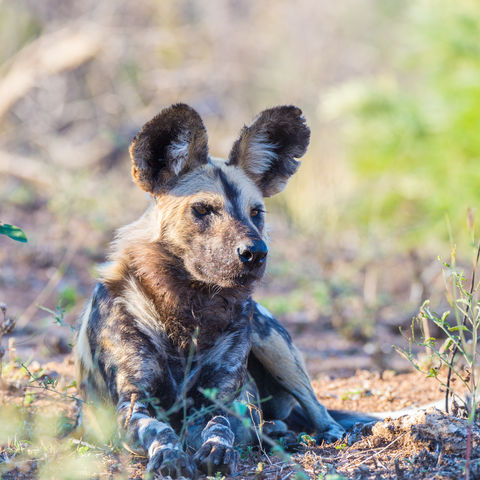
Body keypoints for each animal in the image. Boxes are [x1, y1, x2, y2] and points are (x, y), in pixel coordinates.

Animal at [75, 104, 356, 476]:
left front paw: (217, 449)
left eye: (256, 212)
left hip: (272, 343)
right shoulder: (133, 404)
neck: (189, 307)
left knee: (317, 408)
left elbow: (219, 425)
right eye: (203, 210)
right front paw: (170, 455)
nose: (256, 252)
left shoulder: (225, 400)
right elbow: (159, 428)